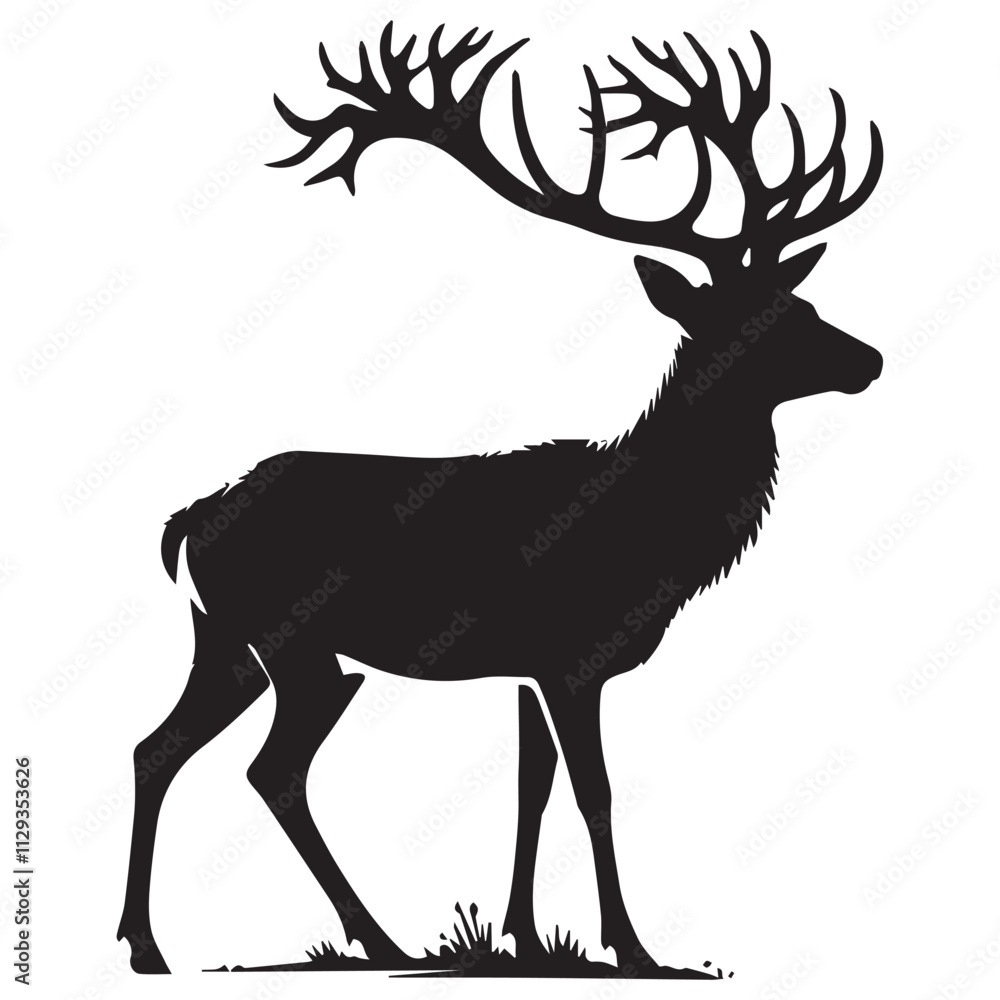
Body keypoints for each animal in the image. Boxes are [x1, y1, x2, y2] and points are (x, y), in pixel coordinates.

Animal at [117, 23, 883, 974]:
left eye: (801, 301)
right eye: (758, 322)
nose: (869, 359)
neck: (656, 535)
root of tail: (186, 521)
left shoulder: (525, 667)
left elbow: (532, 789)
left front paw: (523, 936)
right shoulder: (569, 653)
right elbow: (592, 791)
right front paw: (633, 948)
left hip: (223, 638)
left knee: (157, 747)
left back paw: (149, 944)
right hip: (295, 644)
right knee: (272, 770)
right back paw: (377, 937)